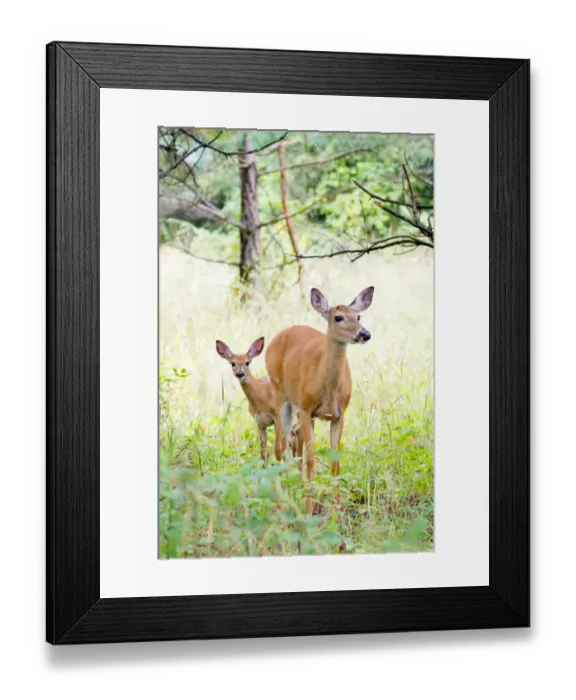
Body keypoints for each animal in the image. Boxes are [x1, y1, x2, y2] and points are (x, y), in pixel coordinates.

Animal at [265, 287, 374, 511]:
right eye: (338, 317)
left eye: (358, 316)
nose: (365, 334)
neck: (329, 389)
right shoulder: (307, 409)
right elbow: (311, 461)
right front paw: (308, 509)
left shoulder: (339, 414)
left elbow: (335, 461)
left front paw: (337, 509)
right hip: (281, 394)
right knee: (280, 448)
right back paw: (283, 501)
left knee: (293, 443)